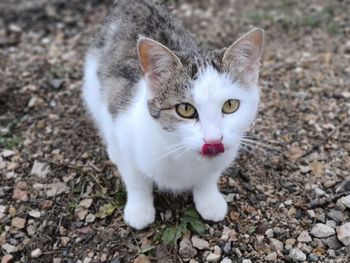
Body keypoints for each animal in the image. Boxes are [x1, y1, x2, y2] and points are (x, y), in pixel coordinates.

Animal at [82, 0, 262, 231]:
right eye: (185, 109)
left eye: (230, 105)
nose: (213, 140)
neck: (181, 150)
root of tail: (135, 3)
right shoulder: (124, 130)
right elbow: (136, 179)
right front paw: (139, 209)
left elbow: (208, 177)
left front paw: (209, 200)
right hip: (93, 88)